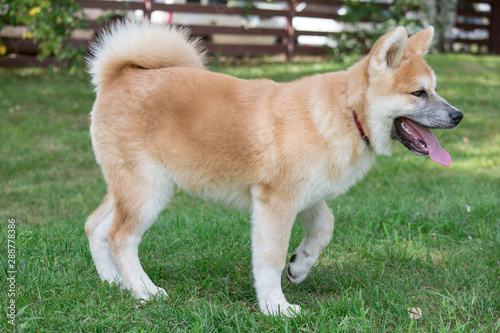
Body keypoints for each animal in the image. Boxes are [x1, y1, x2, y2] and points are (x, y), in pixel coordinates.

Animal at [85, 20, 460, 314]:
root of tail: (120, 74)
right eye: (418, 93)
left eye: (435, 89)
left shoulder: (308, 195)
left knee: (95, 226)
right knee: (121, 237)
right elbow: (271, 258)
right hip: (149, 189)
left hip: (130, 188)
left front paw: (300, 266)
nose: (458, 116)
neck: (345, 112)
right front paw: (275, 307)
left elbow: (325, 228)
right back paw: (145, 291)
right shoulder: (277, 201)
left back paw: (114, 282)